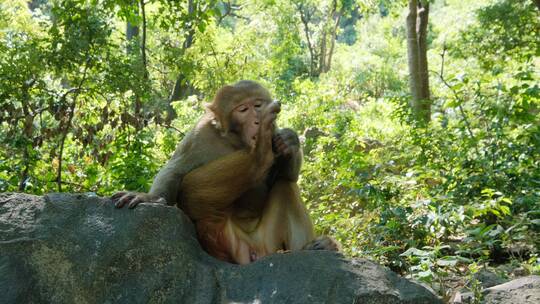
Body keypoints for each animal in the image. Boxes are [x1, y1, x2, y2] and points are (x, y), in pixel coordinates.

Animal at [112, 81, 340, 264]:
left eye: (257, 105)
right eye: (243, 109)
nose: (258, 121)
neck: (235, 141)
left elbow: (285, 176)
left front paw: (290, 140)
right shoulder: (201, 133)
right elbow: (175, 170)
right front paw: (149, 197)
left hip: (269, 244)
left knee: (286, 186)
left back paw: (316, 246)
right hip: (226, 241)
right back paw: (260, 154)